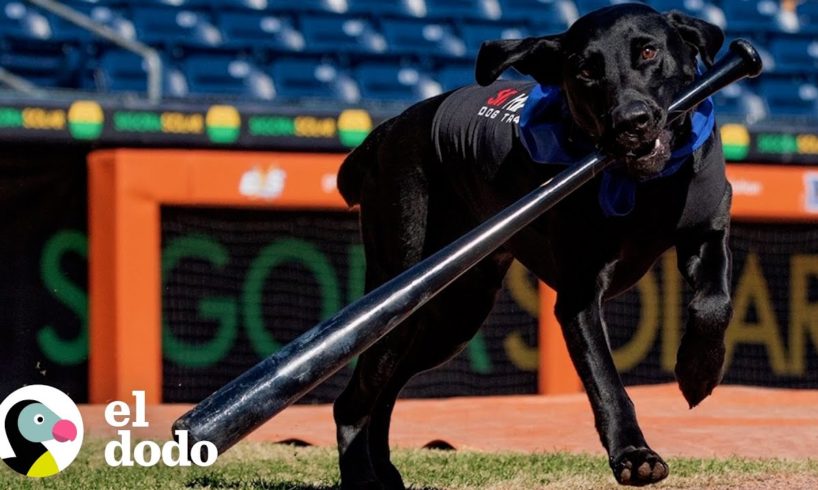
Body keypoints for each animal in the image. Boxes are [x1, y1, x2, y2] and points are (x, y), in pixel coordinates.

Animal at [334, 2, 728, 486]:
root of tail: (387, 129)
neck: (645, 186)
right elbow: (606, 382)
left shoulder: (707, 234)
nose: (631, 122)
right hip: (399, 302)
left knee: (387, 389)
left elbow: (714, 304)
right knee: (352, 402)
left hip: (455, 313)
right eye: (585, 71)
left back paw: (385, 471)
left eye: (649, 51)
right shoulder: (578, 297)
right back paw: (360, 474)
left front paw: (698, 371)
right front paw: (634, 455)